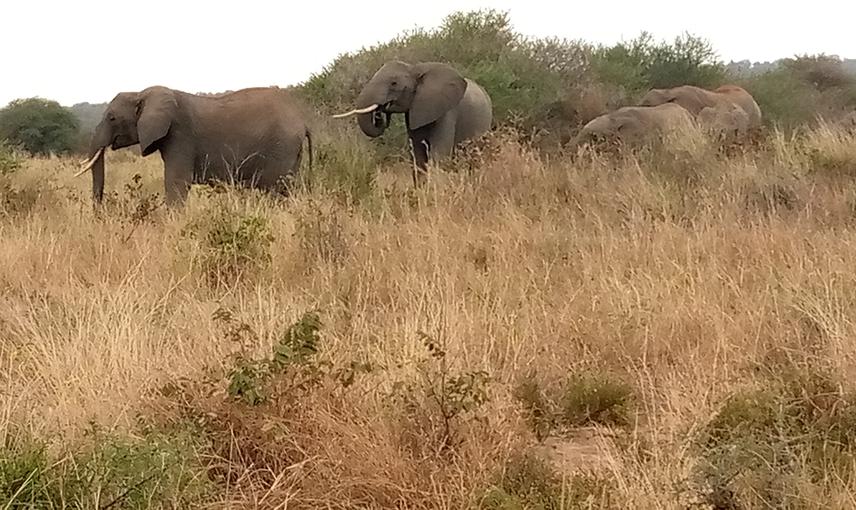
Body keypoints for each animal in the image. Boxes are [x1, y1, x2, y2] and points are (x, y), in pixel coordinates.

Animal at [78, 85, 312, 207]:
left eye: (111, 118)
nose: (99, 214)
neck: (142, 93)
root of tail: (302, 121)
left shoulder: (181, 136)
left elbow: (176, 183)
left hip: (281, 148)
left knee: (276, 191)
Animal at [334, 60, 494, 186]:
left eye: (394, 83)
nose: (379, 112)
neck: (414, 69)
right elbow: (418, 157)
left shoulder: (447, 111)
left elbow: (438, 155)